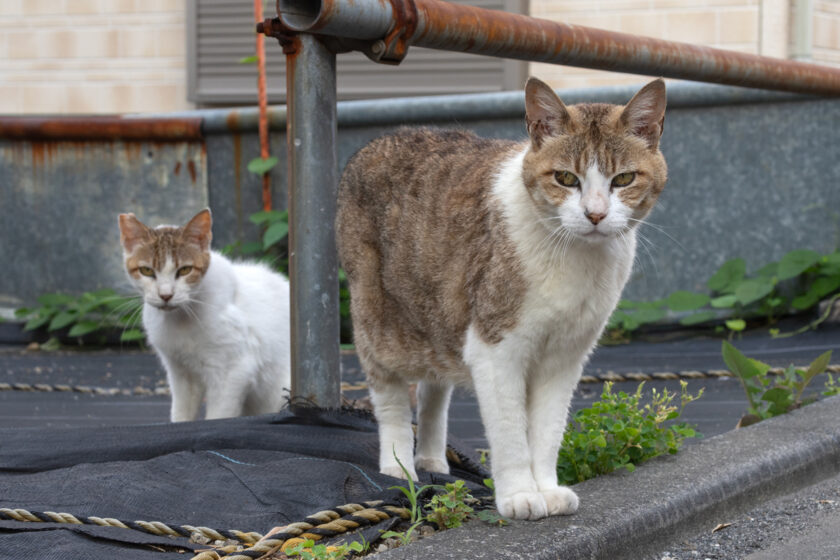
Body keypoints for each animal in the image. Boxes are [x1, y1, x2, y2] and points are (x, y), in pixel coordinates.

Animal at [116, 209, 290, 420]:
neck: (181, 319)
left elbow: (218, 416)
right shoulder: (180, 373)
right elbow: (181, 415)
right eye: (146, 270)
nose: (166, 295)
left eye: (185, 270)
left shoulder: (233, 371)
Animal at [336, 76, 668, 520]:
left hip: (439, 317)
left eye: (624, 179)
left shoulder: (565, 357)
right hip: (377, 319)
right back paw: (399, 467)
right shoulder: (496, 350)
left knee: (433, 390)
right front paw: (520, 496)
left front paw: (547, 489)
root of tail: (380, 140)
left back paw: (432, 459)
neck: (576, 255)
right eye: (566, 178)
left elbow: (547, 430)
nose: (595, 215)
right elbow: (511, 431)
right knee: (389, 395)